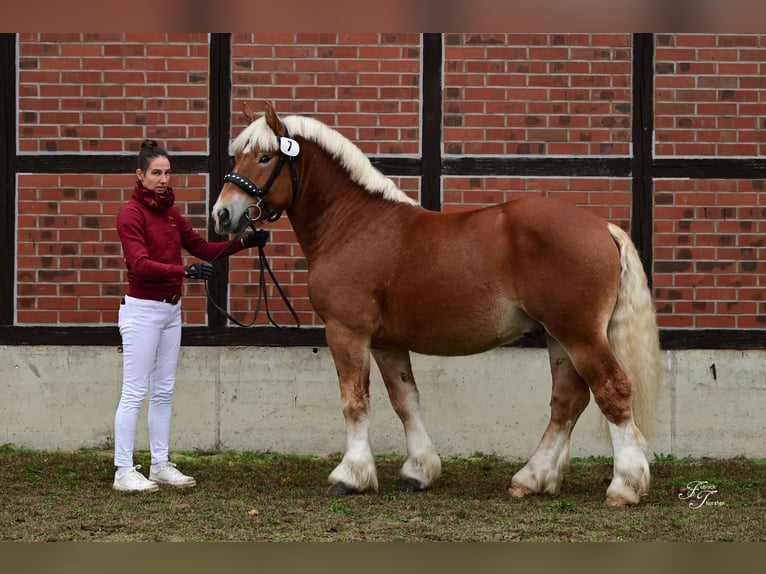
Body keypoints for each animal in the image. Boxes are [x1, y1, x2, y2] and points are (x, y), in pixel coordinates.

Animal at [213, 101, 664, 506]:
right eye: (238, 155)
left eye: (265, 156)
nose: (222, 214)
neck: (353, 225)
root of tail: (602, 227)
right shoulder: (386, 343)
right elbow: (405, 401)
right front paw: (419, 471)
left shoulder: (346, 332)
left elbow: (354, 402)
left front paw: (351, 475)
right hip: (559, 337)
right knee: (567, 401)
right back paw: (532, 479)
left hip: (580, 334)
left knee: (612, 391)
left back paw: (624, 486)